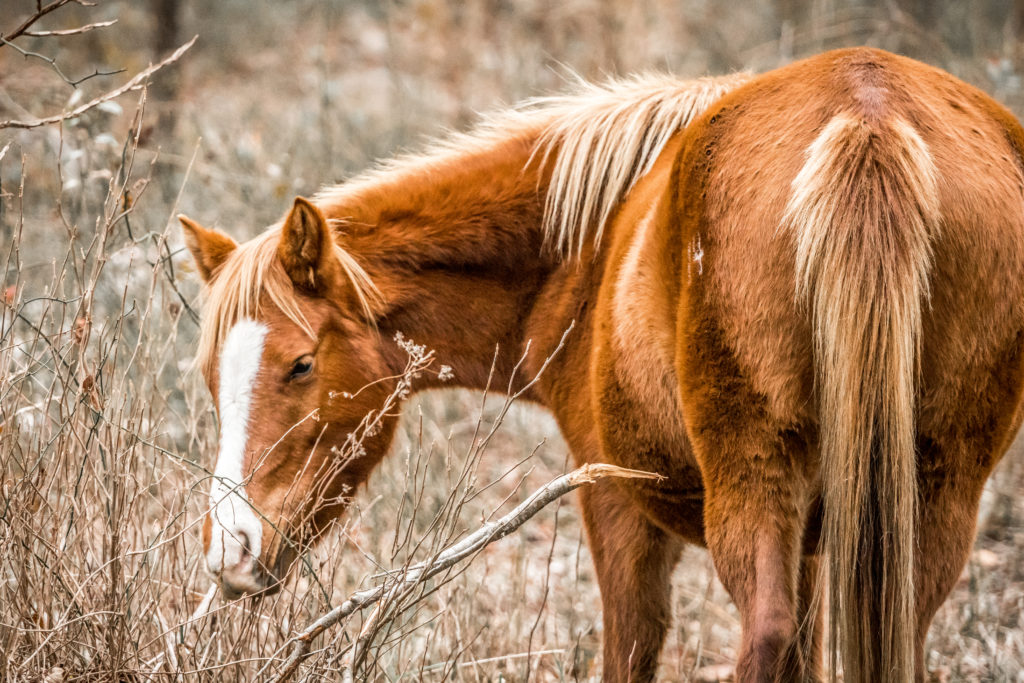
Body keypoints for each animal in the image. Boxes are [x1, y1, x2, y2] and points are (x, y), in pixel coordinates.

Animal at [180, 45, 1024, 679]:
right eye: (211, 377)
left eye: (298, 365)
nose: (230, 548)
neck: (585, 252)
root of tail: (868, 110)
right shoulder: (820, 541)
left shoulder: (616, 503)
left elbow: (633, 647)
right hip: (926, 501)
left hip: (752, 489)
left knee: (763, 634)